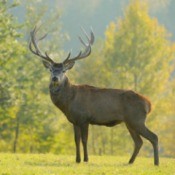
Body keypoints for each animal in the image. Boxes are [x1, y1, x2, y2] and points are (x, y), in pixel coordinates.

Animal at [29, 26, 159, 165]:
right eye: (51, 69)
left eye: (64, 70)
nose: (55, 78)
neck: (69, 102)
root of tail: (149, 104)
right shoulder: (74, 121)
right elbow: (76, 140)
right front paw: (77, 160)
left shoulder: (84, 118)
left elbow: (84, 140)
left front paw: (86, 159)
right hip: (130, 122)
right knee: (139, 141)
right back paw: (130, 162)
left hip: (137, 119)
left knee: (154, 137)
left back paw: (156, 163)